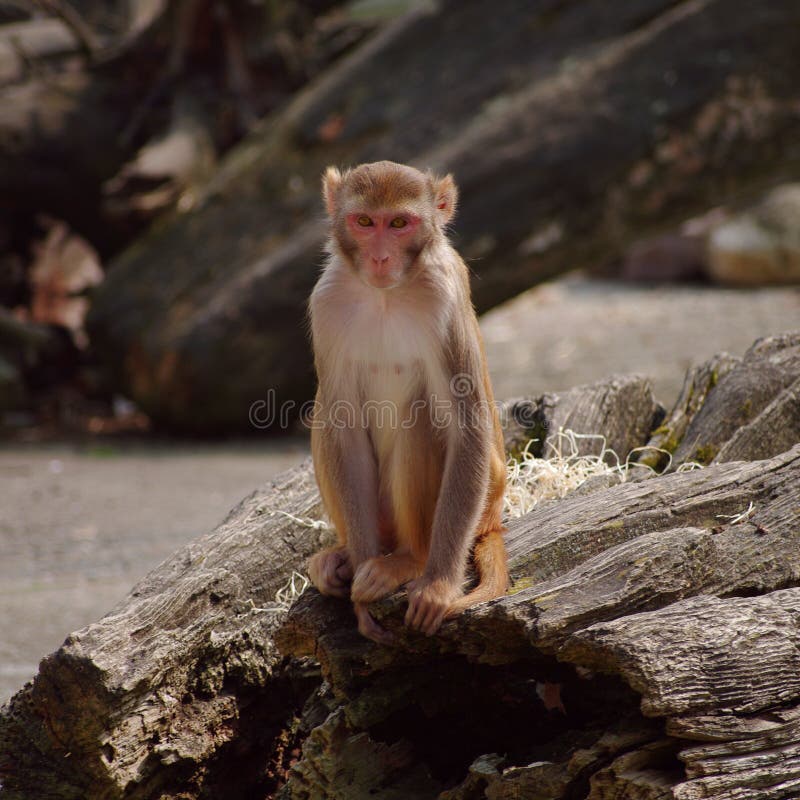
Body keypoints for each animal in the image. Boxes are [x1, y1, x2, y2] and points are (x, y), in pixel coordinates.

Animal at [307, 160, 507, 644]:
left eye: (399, 224)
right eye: (365, 222)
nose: (380, 258)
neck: (386, 295)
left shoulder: (444, 299)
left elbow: (467, 428)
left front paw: (438, 584)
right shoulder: (326, 301)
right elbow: (342, 424)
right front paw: (359, 595)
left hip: (482, 498)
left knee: (423, 417)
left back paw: (412, 561)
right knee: (324, 413)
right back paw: (345, 556)